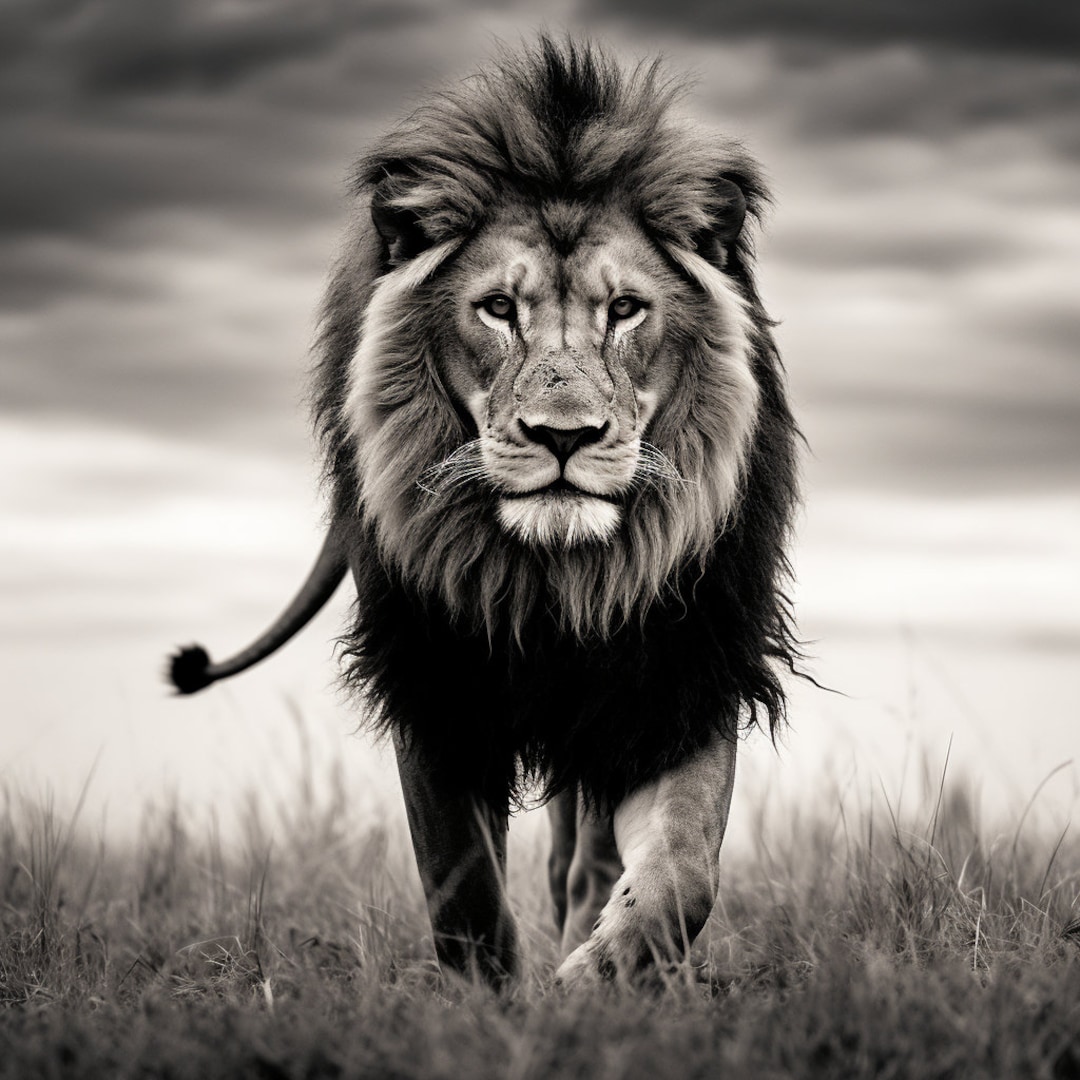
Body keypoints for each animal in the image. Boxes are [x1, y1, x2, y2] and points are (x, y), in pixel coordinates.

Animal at [169, 38, 800, 990]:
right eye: (499, 309)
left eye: (626, 310)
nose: (564, 435)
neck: (555, 578)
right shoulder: (437, 680)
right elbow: (461, 886)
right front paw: (491, 1001)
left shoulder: (681, 666)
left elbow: (682, 871)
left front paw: (593, 978)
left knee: (590, 851)